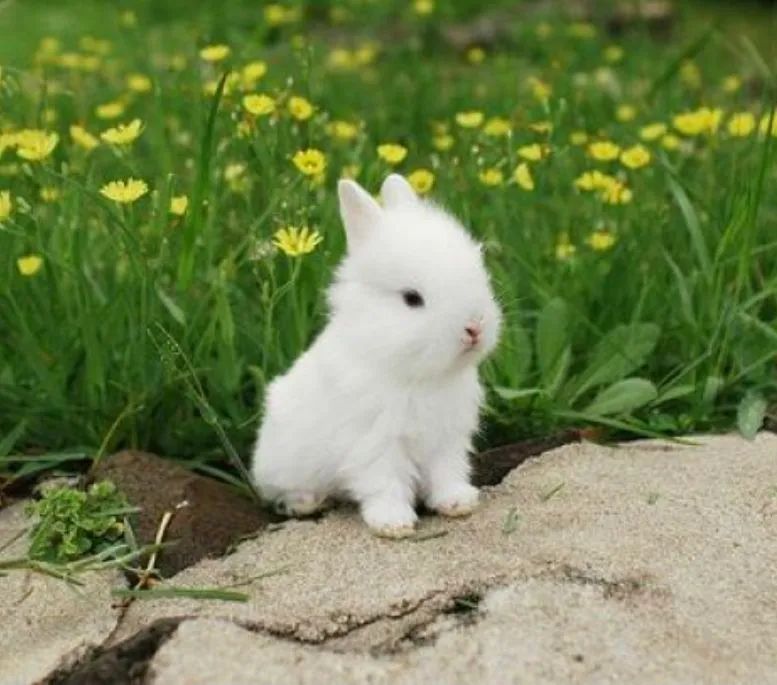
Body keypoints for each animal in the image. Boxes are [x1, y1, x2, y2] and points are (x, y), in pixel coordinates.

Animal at [251, 174, 502, 538]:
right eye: (412, 299)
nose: (474, 327)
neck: (416, 375)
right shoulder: (375, 444)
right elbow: (385, 484)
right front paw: (393, 524)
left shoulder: (446, 439)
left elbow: (447, 472)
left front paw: (458, 503)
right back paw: (306, 503)